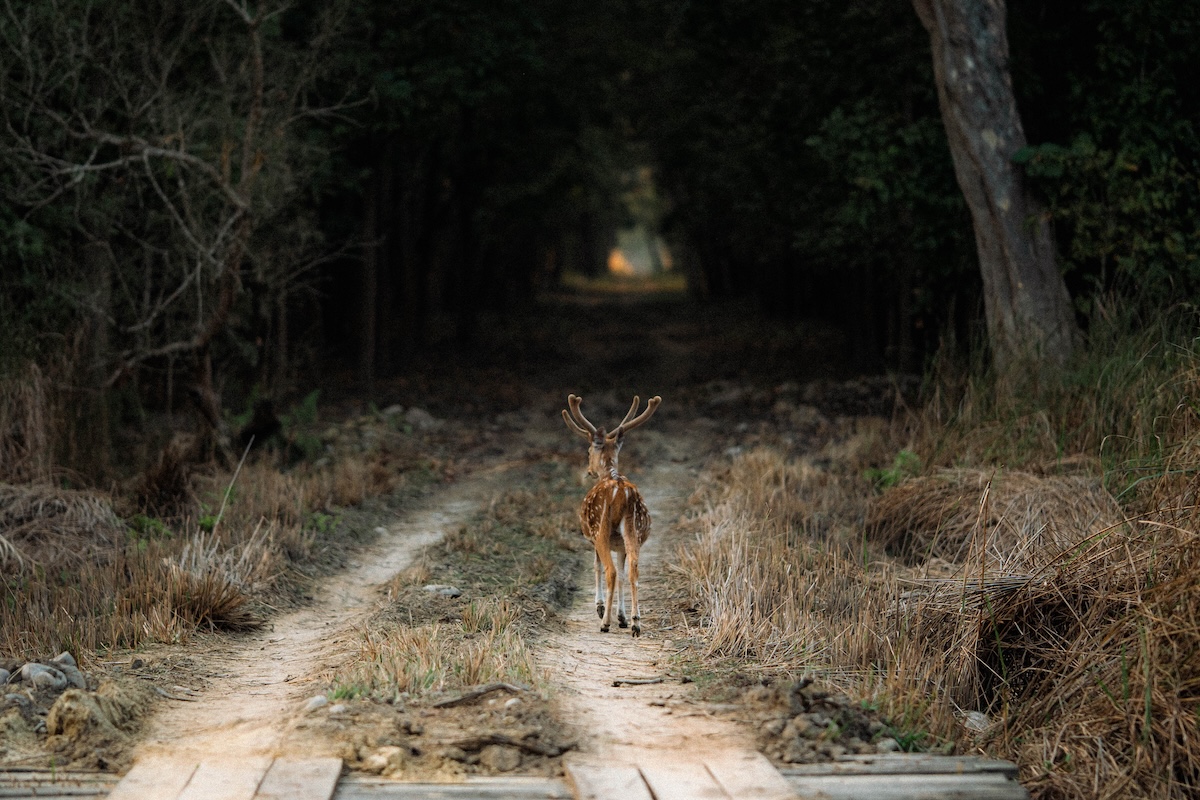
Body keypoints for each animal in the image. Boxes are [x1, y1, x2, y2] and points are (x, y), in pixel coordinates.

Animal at [562, 393, 661, 637]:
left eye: (588, 451)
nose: (589, 470)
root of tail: (621, 493)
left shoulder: (593, 538)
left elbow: (597, 566)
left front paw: (600, 608)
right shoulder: (620, 546)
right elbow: (625, 575)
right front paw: (622, 617)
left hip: (601, 529)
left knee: (611, 572)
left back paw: (605, 622)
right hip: (634, 529)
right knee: (633, 571)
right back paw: (636, 622)